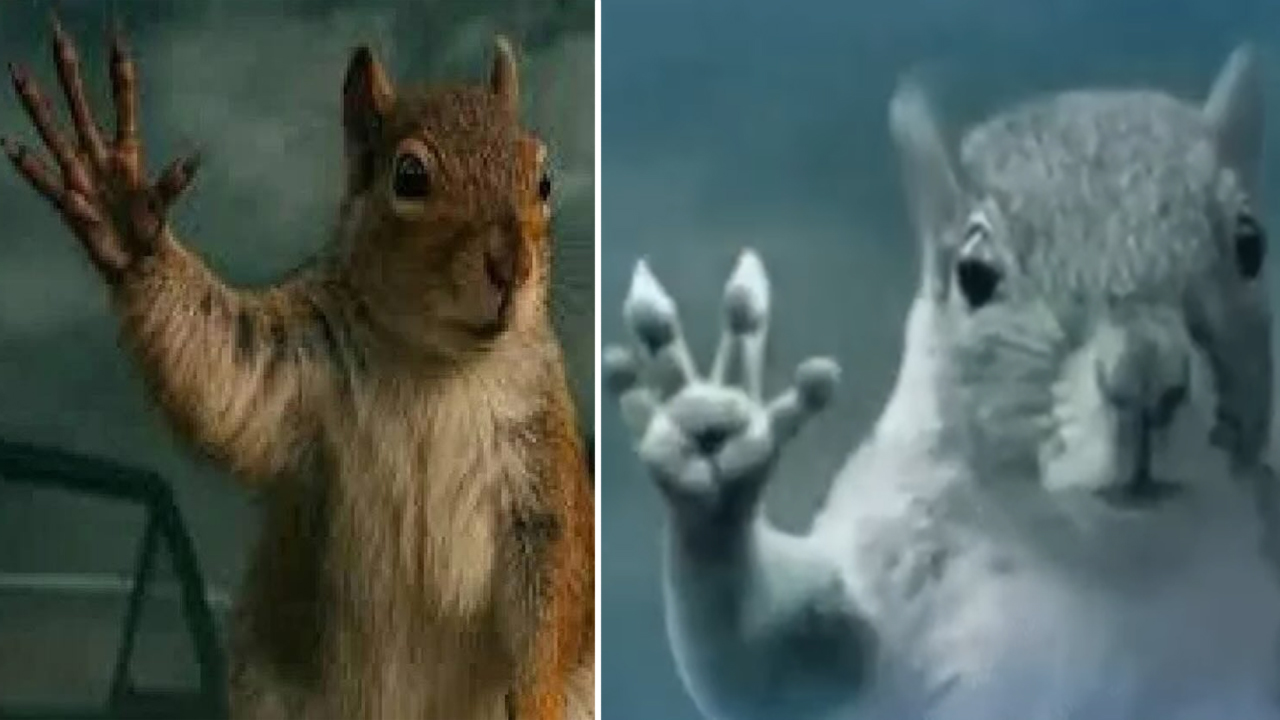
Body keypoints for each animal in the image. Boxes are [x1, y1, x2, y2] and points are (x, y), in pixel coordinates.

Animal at [3, 17, 593, 720]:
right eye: (410, 176)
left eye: (544, 179)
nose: (512, 266)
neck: (433, 359)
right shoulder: (293, 361)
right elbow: (220, 368)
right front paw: (121, 214)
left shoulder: (540, 452)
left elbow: (555, 589)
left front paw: (536, 702)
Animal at [606, 46, 1280, 720]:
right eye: (974, 273)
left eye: (1252, 244)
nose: (1144, 376)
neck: (1112, 561)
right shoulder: (882, 576)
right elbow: (767, 653)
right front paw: (710, 447)